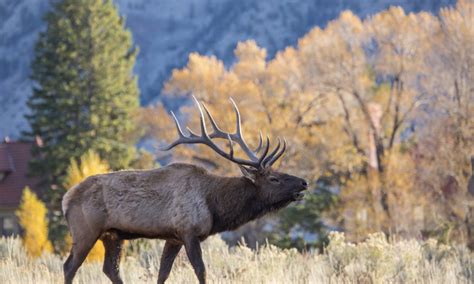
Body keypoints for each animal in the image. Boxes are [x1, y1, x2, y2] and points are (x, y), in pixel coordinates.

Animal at [62, 96, 308, 282]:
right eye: (274, 178)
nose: (304, 182)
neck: (215, 206)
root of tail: (65, 199)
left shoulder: (174, 237)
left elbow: (163, 273)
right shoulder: (189, 231)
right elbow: (201, 270)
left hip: (112, 235)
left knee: (110, 269)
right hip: (85, 230)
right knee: (70, 266)